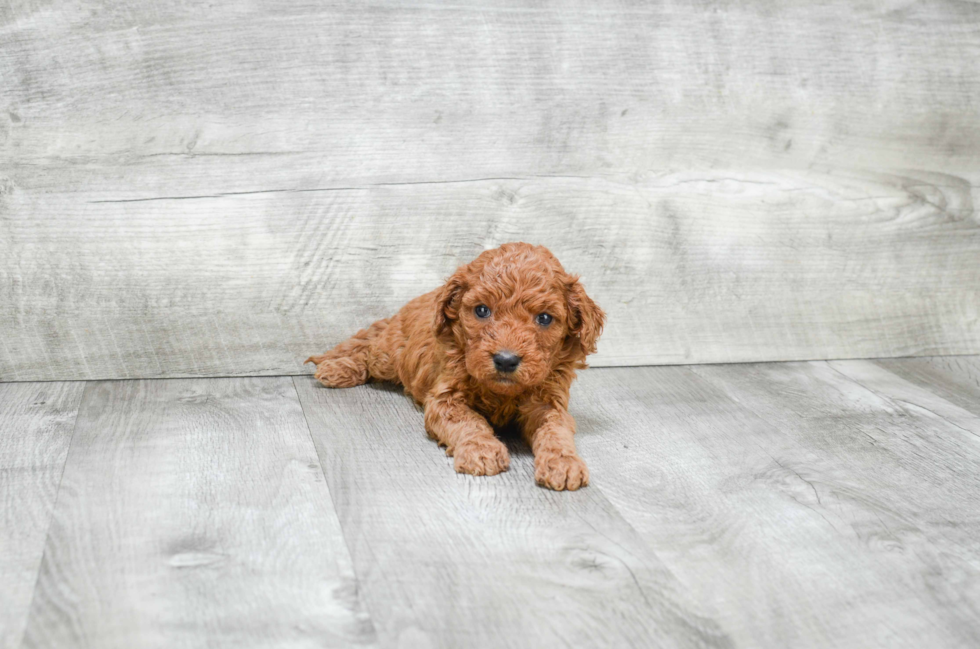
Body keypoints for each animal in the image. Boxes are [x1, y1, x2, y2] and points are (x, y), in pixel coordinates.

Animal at [306, 243, 600, 492]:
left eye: (545, 318)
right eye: (482, 310)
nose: (505, 360)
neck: (501, 393)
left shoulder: (549, 403)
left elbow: (556, 430)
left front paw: (563, 462)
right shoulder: (446, 398)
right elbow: (470, 421)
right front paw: (481, 450)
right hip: (390, 355)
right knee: (368, 351)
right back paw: (337, 369)